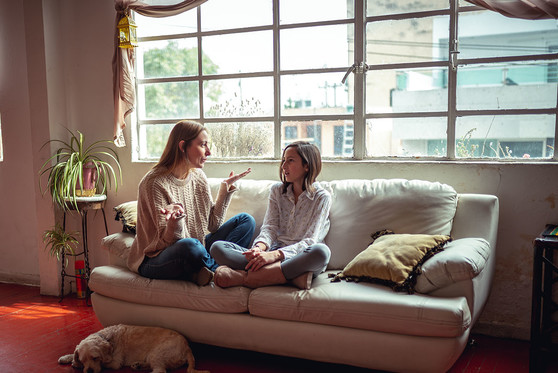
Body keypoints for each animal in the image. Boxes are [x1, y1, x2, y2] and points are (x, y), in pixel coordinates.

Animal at [58, 322, 210, 372]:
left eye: (95, 358)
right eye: (83, 360)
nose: (88, 371)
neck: (107, 338)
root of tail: (188, 348)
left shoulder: (115, 363)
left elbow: (105, 364)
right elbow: (73, 353)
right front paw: (69, 358)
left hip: (158, 353)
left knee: (160, 370)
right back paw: (138, 365)